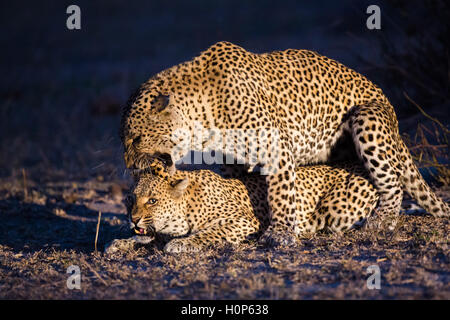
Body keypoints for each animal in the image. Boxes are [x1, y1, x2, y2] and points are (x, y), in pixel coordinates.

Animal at [109, 161, 380, 254]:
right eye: (130, 199)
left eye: (152, 201)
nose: (133, 219)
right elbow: (148, 238)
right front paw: (118, 243)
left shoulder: (245, 221)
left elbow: (210, 232)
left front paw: (181, 243)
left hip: (337, 213)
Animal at [120, 41, 450, 246]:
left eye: (135, 138)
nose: (129, 166)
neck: (204, 115)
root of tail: (392, 113)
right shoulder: (233, 160)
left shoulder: (275, 147)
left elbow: (281, 193)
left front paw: (278, 233)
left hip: (368, 120)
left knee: (391, 182)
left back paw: (382, 220)